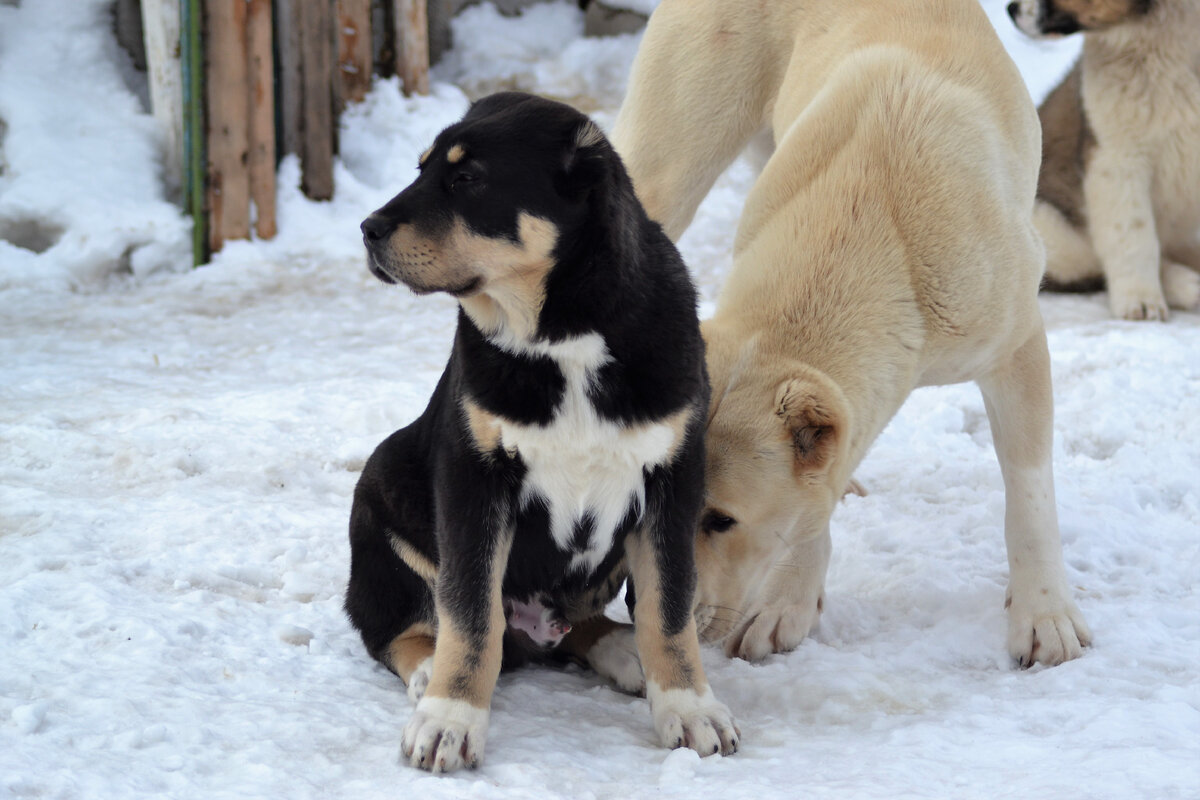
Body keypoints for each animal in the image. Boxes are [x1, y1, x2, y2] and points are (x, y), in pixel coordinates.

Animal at [348, 90, 734, 772]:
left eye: (466, 180)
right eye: (421, 169)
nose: (367, 229)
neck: (565, 334)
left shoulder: (674, 475)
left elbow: (669, 609)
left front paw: (689, 707)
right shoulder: (474, 475)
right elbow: (470, 609)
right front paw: (450, 718)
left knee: (581, 624)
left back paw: (621, 649)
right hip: (381, 480)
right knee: (393, 627)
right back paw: (426, 670)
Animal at [614, 0, 1094, 662]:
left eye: (720, 520)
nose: (640, 607)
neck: (872, 219)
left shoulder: (1017, 343)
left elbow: (1029, 493)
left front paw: (1044, 614)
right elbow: (813, 502)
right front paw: (788, 600)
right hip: (665, 167)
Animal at [1012, 0, 1200, 319]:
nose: (1011, 10)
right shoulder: (1116, 156)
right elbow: (1133, 234)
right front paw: (1142, 301)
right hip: (1047, 226)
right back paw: (1186, 285)